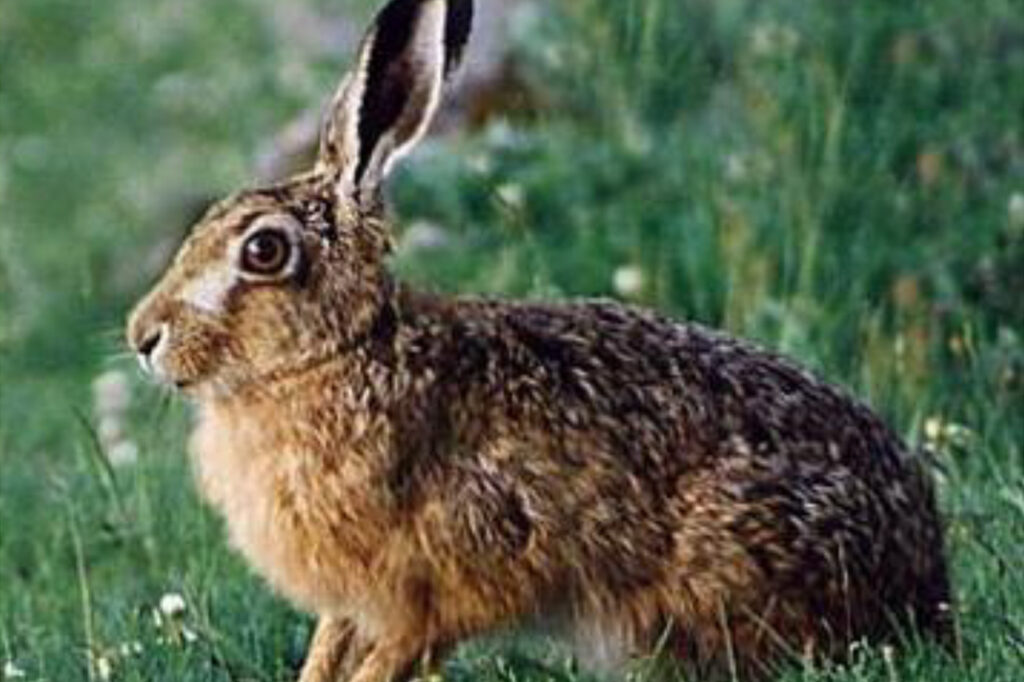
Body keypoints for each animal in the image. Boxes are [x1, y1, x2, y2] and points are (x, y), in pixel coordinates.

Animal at [126, 0, 955, 679]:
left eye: (264, 251)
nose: (143, 336)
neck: (336, 357)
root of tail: (926, 577)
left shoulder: (432, 589)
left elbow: (392, 655)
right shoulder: (351, 602)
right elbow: (325, 656)